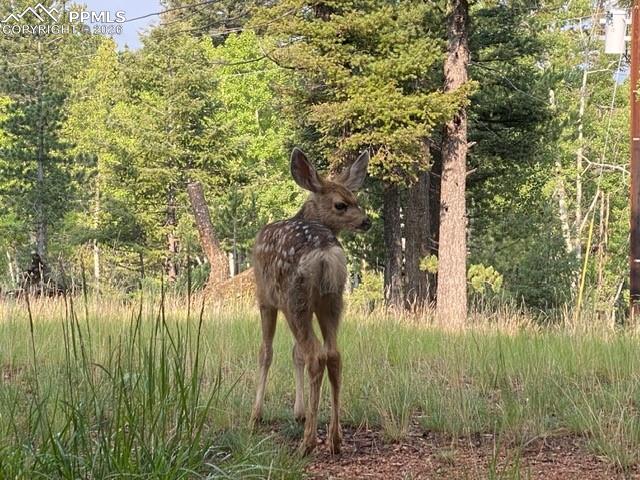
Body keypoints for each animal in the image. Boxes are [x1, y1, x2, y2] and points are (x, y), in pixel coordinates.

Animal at [250, 147, 371, 455]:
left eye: (356, 199)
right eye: (342, 204)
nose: (367, 221)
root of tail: (325, 254)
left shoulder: (265, 299)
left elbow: (266, 352)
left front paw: (256, 415)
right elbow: (296, 353)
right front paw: (300, 412)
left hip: (296, 299)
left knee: (315, 354)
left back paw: (308, 442)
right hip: (332, 300)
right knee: (333, 354)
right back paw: (334, 439)